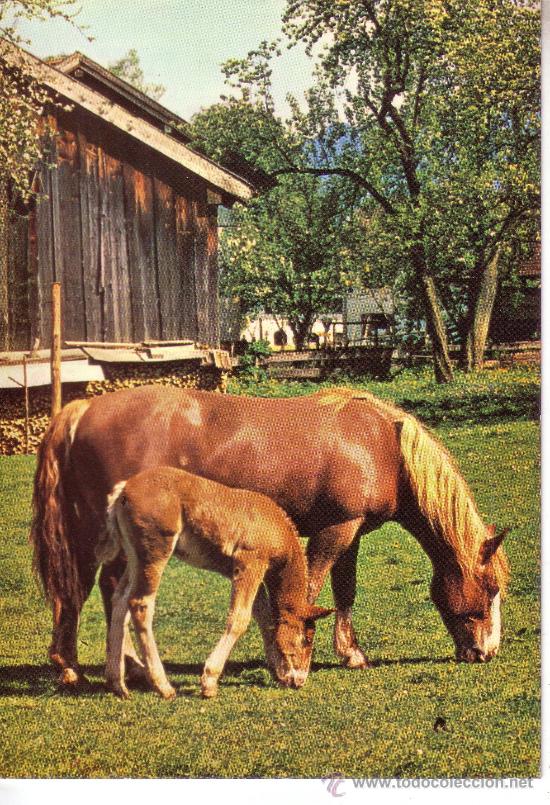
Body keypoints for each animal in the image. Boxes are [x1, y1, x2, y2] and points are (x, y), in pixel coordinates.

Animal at [98, 467, 332, 699]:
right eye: (306, 639)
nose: (300, 680)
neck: (275, 527)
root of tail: (124, 489)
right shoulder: (250, 564)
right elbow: (239, 619)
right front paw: (209, 681)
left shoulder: (241, 572)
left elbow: (263, 616)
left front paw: (278, 672)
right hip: (155, 552)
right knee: (140, 604)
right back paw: (163, 686)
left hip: (134, 558)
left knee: (120, 599)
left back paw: (117, 684)